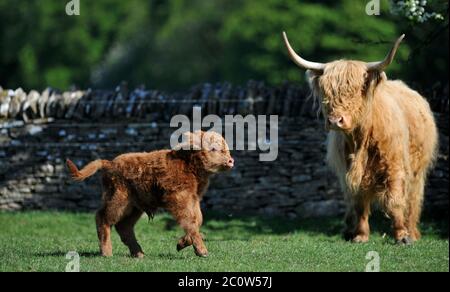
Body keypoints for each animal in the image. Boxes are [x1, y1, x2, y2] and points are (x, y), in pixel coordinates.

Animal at [67, 131, 236, 256]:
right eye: (213, 149)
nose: (230, 161)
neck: (189, 166)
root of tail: (109, 163)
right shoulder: (180, 198)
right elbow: (191, 221)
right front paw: (202, 251)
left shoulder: (193, 199)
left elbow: (198, 220)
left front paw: (182, 244)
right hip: (118, 200)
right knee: (102, 217)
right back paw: (107, 252)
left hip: (134, 207)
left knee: (124, 226)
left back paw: (138, 253)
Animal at [284, 31, 438, 244]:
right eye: (327, 91)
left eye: (355, 90)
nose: (335, 120)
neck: (361, 140)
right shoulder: (349, 172)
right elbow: (359, 203)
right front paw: (360, 235)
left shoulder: (395, 166)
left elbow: (395, 200)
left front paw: (402, 236)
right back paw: (349, 230)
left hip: (417, 170)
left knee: (413, 198)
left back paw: (412, 231)